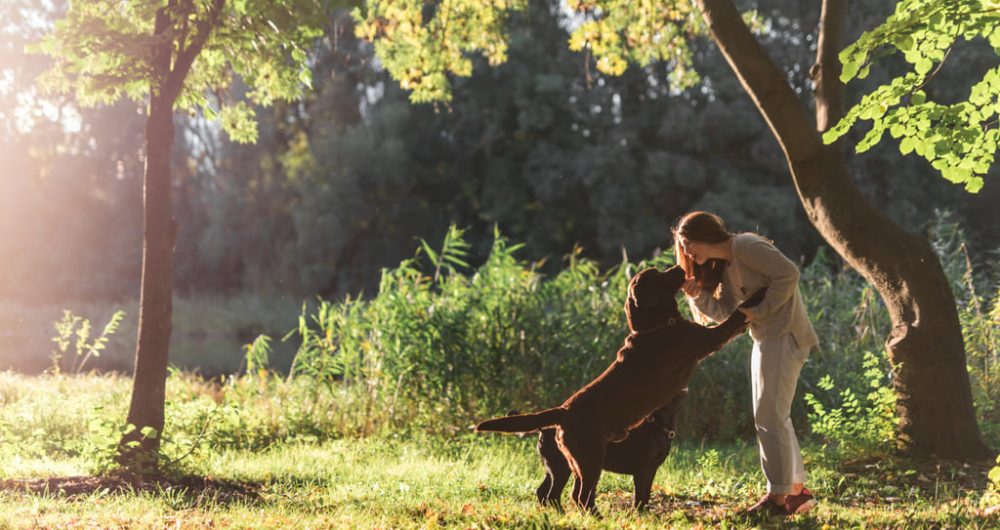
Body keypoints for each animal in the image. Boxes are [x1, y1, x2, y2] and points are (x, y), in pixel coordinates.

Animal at [476, 264, 764, 512]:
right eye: (657, 274)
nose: (680, 267)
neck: (657, 325)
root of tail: (563, 411)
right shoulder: (706, 338)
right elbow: (734, 317)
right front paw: (758, 294)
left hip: (573, 463)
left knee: (559, 493)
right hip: (589, 458)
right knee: (579, 496)